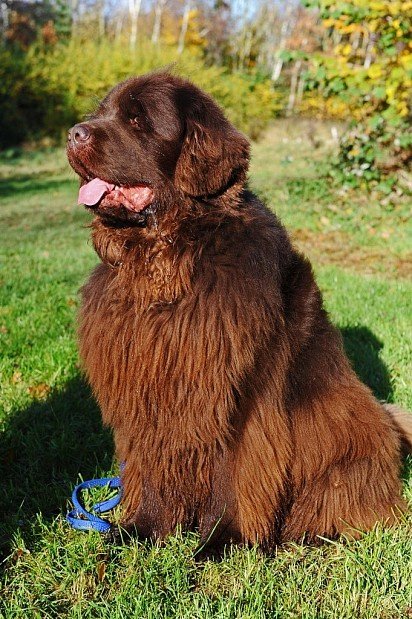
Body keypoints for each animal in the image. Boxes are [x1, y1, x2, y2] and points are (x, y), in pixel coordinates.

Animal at [66, 71, 410, 552]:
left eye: (137, 119)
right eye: (102, 112)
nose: (73, 134)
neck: (167, 263)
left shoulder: (240, 389)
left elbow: (238, 470)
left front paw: (222, 541)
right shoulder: (149, 387)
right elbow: (151, 464)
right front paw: (141, 530)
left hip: (345, 442)